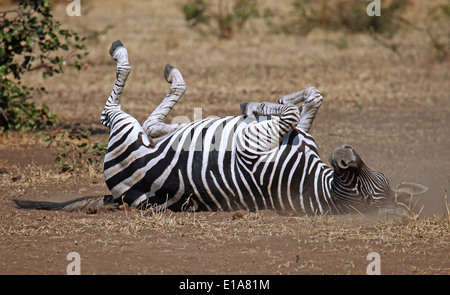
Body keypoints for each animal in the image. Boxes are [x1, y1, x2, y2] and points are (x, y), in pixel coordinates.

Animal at [14, 40, 428, 216]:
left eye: (367, 191)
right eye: (378, 176)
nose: (346, 154)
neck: (320, 184)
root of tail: (118, 197)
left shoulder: (254, 149)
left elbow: (288, 114)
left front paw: (258, 106)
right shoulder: (302, 136)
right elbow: (310, 100)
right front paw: (267, 102)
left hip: (125, 137)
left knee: (115, 108)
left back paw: (126, 55)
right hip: (144, 138)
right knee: (154, 123)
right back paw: (176, 82)